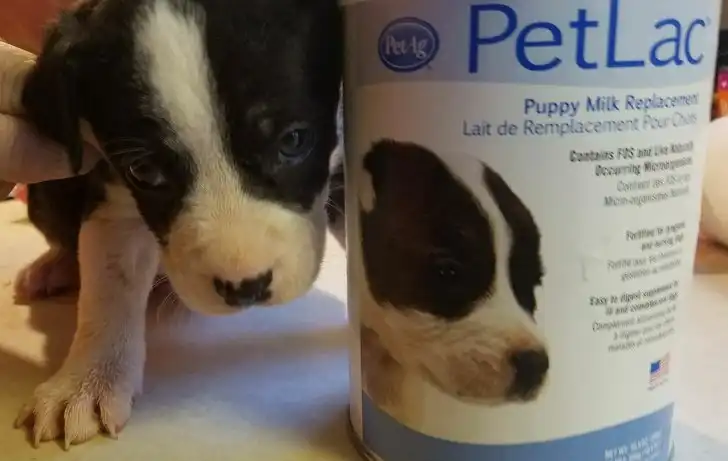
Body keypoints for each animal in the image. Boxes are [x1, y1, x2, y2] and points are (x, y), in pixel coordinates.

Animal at [13, 0, 342, 448]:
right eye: (145, 171)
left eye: (293, 141)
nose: (246, 289)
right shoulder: (111, 192)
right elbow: (110, 285)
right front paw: (85, 382)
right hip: (49, 190)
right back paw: (54, 266)